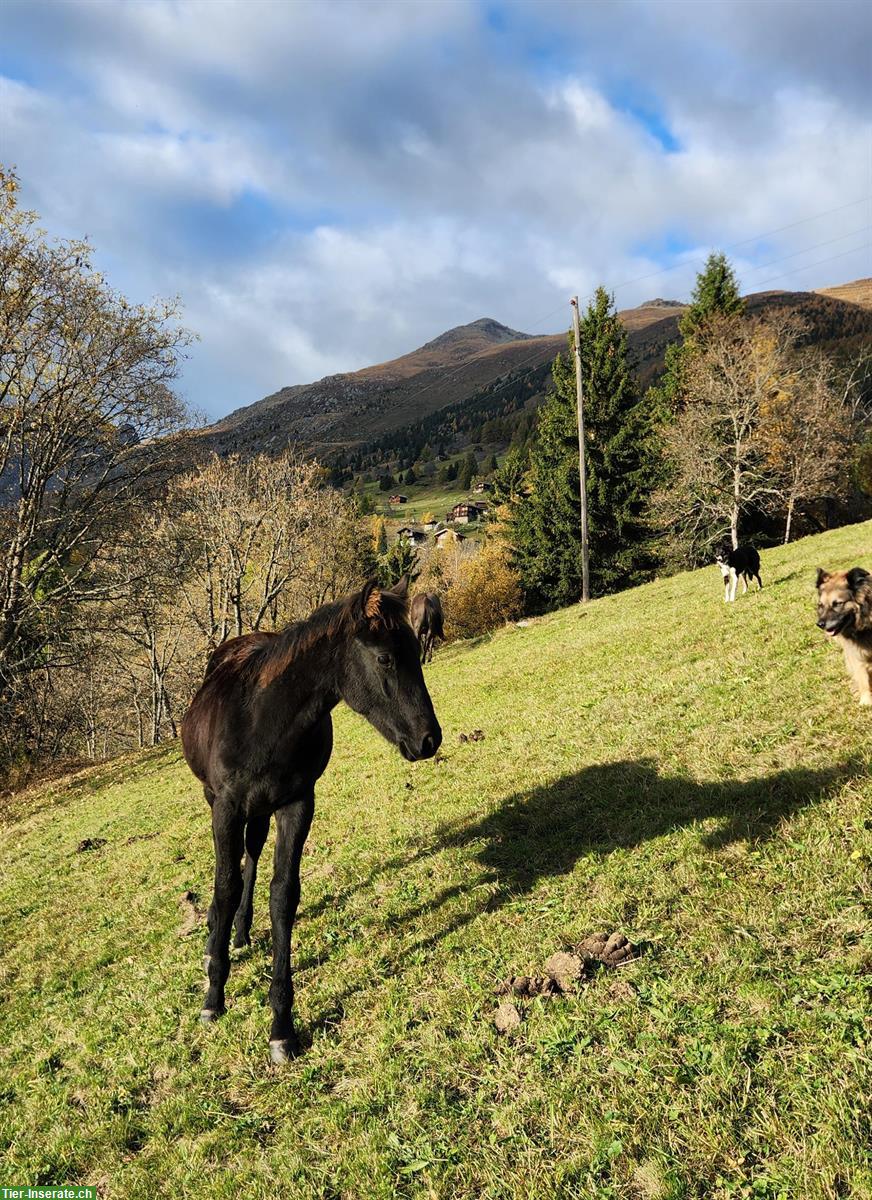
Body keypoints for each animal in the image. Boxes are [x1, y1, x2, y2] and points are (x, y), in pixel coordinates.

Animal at [183, 580, 443, 1060]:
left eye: (416, 650)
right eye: (385, 658)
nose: (428, 739)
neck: (262, 721)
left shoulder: (298, 802)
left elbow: (283, 896)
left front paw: (282, 1027)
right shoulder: (225, 807)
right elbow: (225, 886)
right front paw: (213, 995)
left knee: (252, 854)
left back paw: (241, 931)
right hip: (218, 800)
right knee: (235, 871)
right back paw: (219, 938)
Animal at [820, 568, 872, 705]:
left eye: (838, 603)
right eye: (821, 605)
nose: (820, 624)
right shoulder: (856, 655)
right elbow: (863, 678)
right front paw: (866, 701)